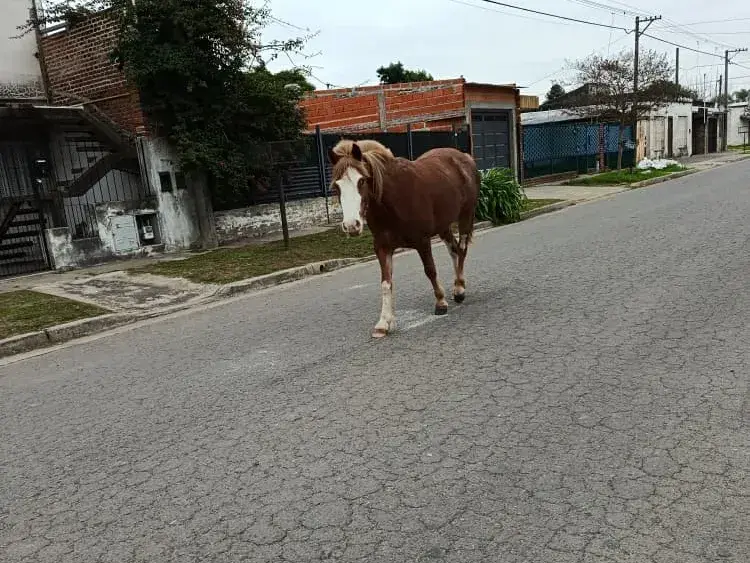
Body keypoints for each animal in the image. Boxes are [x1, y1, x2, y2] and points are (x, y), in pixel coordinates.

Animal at [328, 138, 480, 338]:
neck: (392, 201)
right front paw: (383, 322)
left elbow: (430, 271)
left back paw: (460, 290)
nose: (352, 225)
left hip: (466, 215)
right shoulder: (382, 247)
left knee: (461, 249)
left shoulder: (422, 241)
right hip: (444, 225)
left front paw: (440, 302)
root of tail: (465, 157)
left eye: (361, 180)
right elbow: (386, 283)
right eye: (337, 186)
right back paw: (457, 287)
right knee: (454, 250)